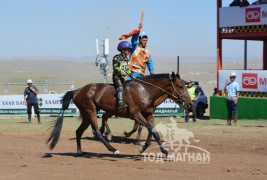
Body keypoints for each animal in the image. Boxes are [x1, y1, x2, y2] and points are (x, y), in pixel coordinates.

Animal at [46, 72, 193, 157]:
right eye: (180, 86)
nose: (190, 104)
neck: (145, 90)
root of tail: (78, 90)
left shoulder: (148, 115)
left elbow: (154, 132)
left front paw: (163, 151)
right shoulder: (136, 115)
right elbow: (149, 129)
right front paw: (143, 146)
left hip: (86, 114)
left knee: (79, 131)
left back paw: (79, 152)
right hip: (90, 111)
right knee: (97, 132)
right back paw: (113, 149)